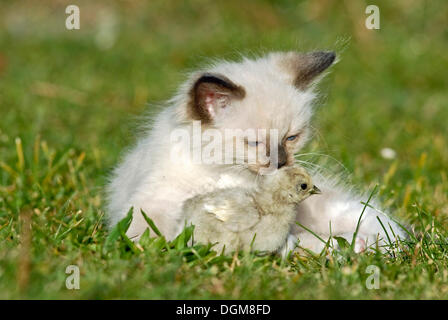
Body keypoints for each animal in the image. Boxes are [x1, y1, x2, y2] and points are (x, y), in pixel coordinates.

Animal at [107, 51, 408, 254]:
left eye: (291, 138)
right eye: (253, 143)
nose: (281, 162)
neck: (224, 171)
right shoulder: (154, 205)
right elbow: (153, 235)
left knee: (383, 228)